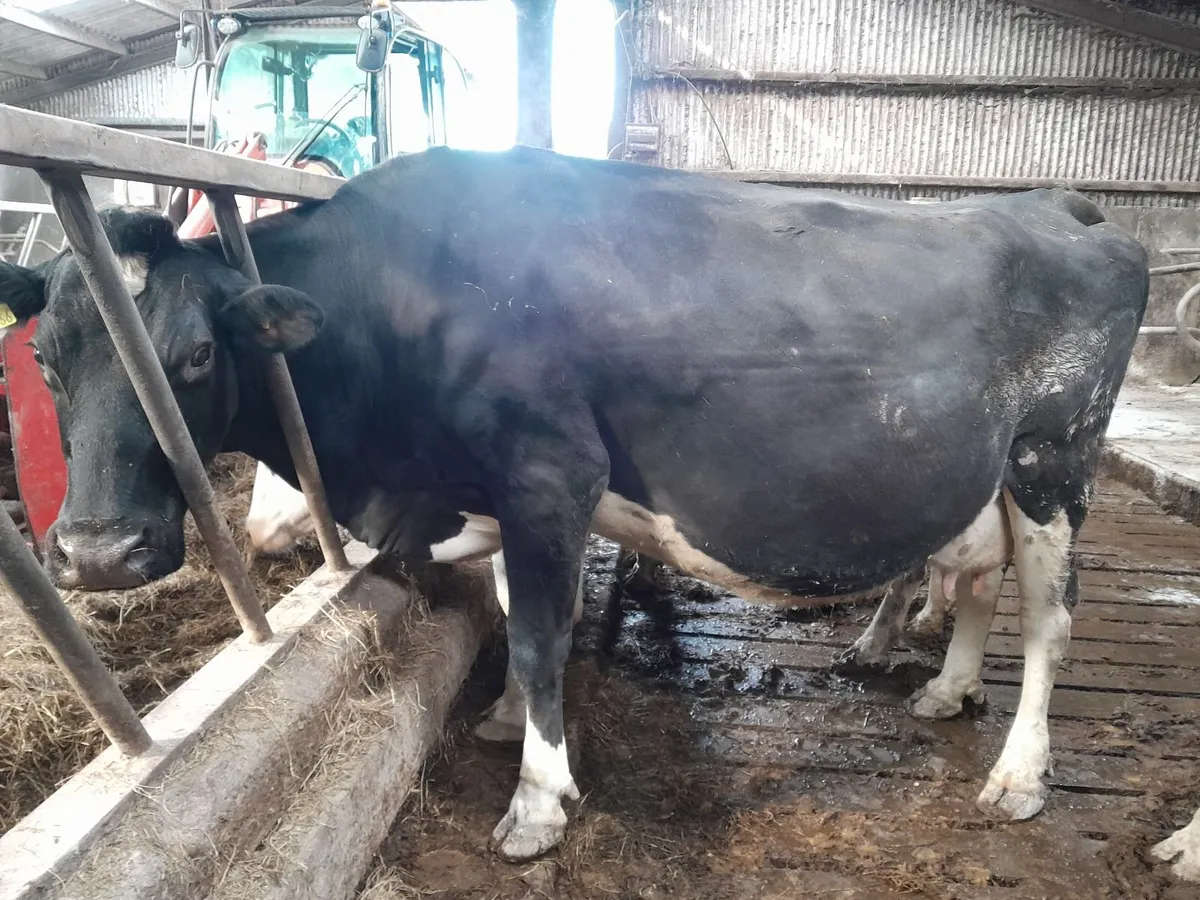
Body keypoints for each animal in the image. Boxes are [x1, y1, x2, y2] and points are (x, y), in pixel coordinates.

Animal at [0, 146, 1149, 861]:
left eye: (195, 356)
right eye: (45, 362)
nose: (97, 553)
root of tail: (1053, 204)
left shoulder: (550, 473)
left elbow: (545, 636)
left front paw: (537, 803)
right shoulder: (506, 497)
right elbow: (517, 613)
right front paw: (509, 721)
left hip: (1056, 460)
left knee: (1051, 621)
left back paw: (1020, 775)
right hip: (990, 481)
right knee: (977, 583)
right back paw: (948, 690)